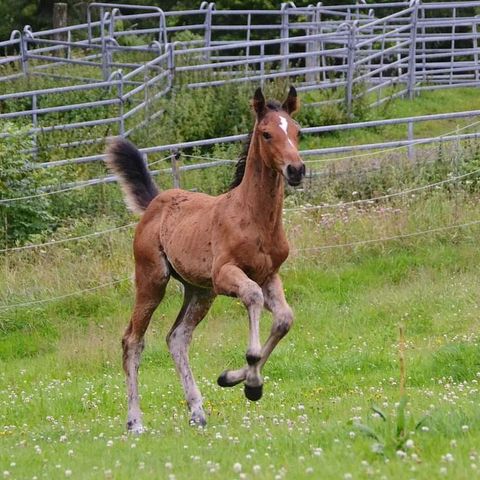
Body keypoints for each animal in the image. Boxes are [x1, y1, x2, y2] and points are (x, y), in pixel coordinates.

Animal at [107, 86, 306, 432]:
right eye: (266, 133)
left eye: (298, 132)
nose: (296, 170)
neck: (253, 217)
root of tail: (155, 203)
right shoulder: (225, 274)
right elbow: (253, 298)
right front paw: (251, 380)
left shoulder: (269, 275)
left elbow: (284, 319)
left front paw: (237, 381)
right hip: (153, 280)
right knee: (132, 340)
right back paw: (135, 421)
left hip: (199, 291)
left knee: (177, 337)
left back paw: (197, 412)